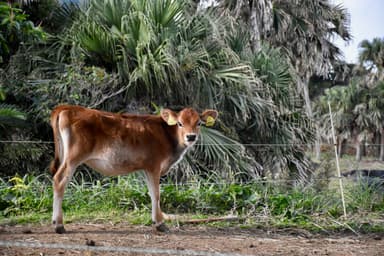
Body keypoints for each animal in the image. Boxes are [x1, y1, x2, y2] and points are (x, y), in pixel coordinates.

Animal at [49, 105, 218, 233]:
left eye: (199, 123)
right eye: (180, 123)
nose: (191, 137)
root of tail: (67, 107)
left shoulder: (146, 169)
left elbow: (151, 193)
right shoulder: (154, 166)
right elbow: (156, 194)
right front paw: (160, 224)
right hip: (73, 158)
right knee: (59, 180)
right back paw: (59, 225)